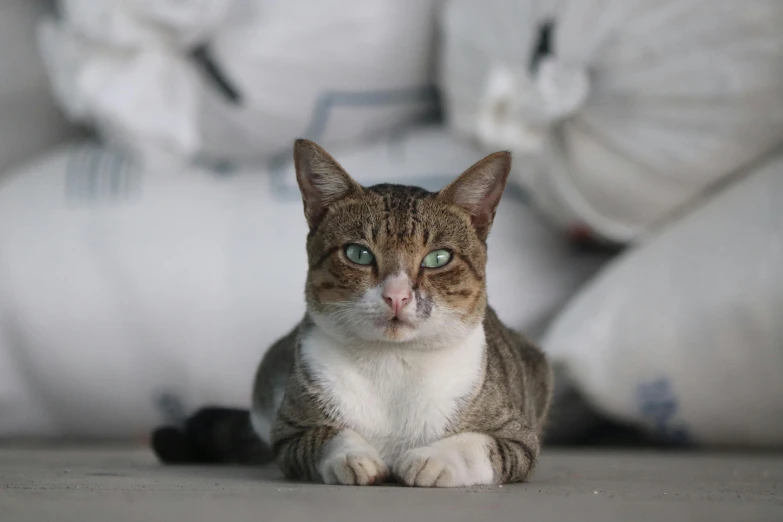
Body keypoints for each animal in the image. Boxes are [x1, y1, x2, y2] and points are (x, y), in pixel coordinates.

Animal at [153, 137, 556, 484]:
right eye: (358, 254)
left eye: (438, 258)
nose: (396, 296)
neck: (394, 363)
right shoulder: (289, 432)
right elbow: (327, 435)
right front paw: (354, 456)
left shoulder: (519, 438)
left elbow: (479, 445)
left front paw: (433, 459)